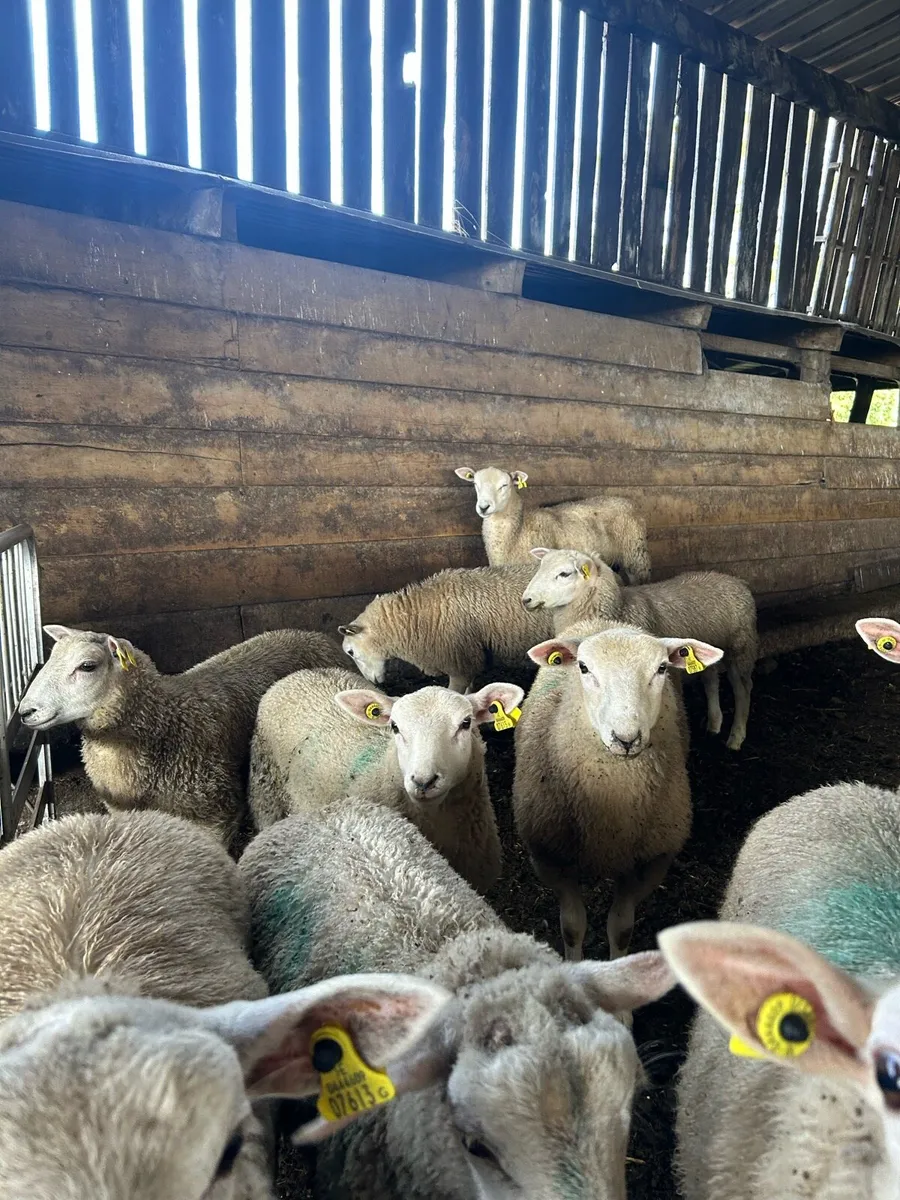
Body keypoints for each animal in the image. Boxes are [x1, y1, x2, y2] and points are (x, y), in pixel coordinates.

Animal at [453, 464, 651, 583]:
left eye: (504, 485)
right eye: (475, 484)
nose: (483, 507)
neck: (519, 531)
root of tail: (629, 502)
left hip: (636, 554)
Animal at [513, 621, 724, 961]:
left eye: (661, 668)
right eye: (584, 668)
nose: (626, 738)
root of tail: (607, 622)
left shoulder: (649, 863)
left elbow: (621, 929)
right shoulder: (549, 857)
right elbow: (572, 926)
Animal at [523, 548, 757, 750]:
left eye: (564, 574)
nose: (526, 600)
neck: (620, 608)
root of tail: (734, 579)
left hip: (741, 647)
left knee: (743, 689)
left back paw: (736, 736)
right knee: (711, 680)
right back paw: (714, 724)